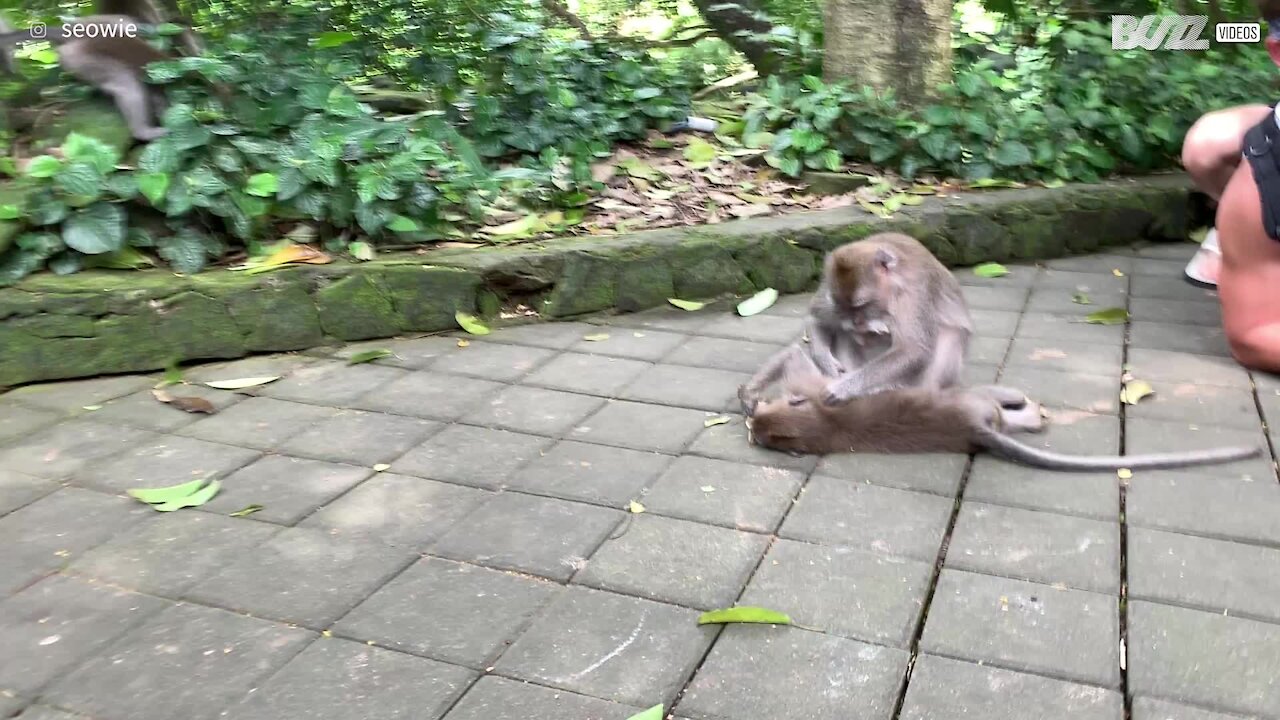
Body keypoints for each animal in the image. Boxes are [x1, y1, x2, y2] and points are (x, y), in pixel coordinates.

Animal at [0, 15, 170, 140]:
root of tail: (73, 33)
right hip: (79, 58)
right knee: (126, 84)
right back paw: (142, 132)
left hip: (92, 25)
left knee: (125, 22)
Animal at [742, 233, 967, 412]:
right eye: (844, 307)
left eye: (862, 305)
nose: (857, 322)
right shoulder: (831, 296)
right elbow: (818, 318)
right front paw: (827, 362)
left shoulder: (912, 294)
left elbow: (913, 349)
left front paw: (842, 388)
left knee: (951, 335)